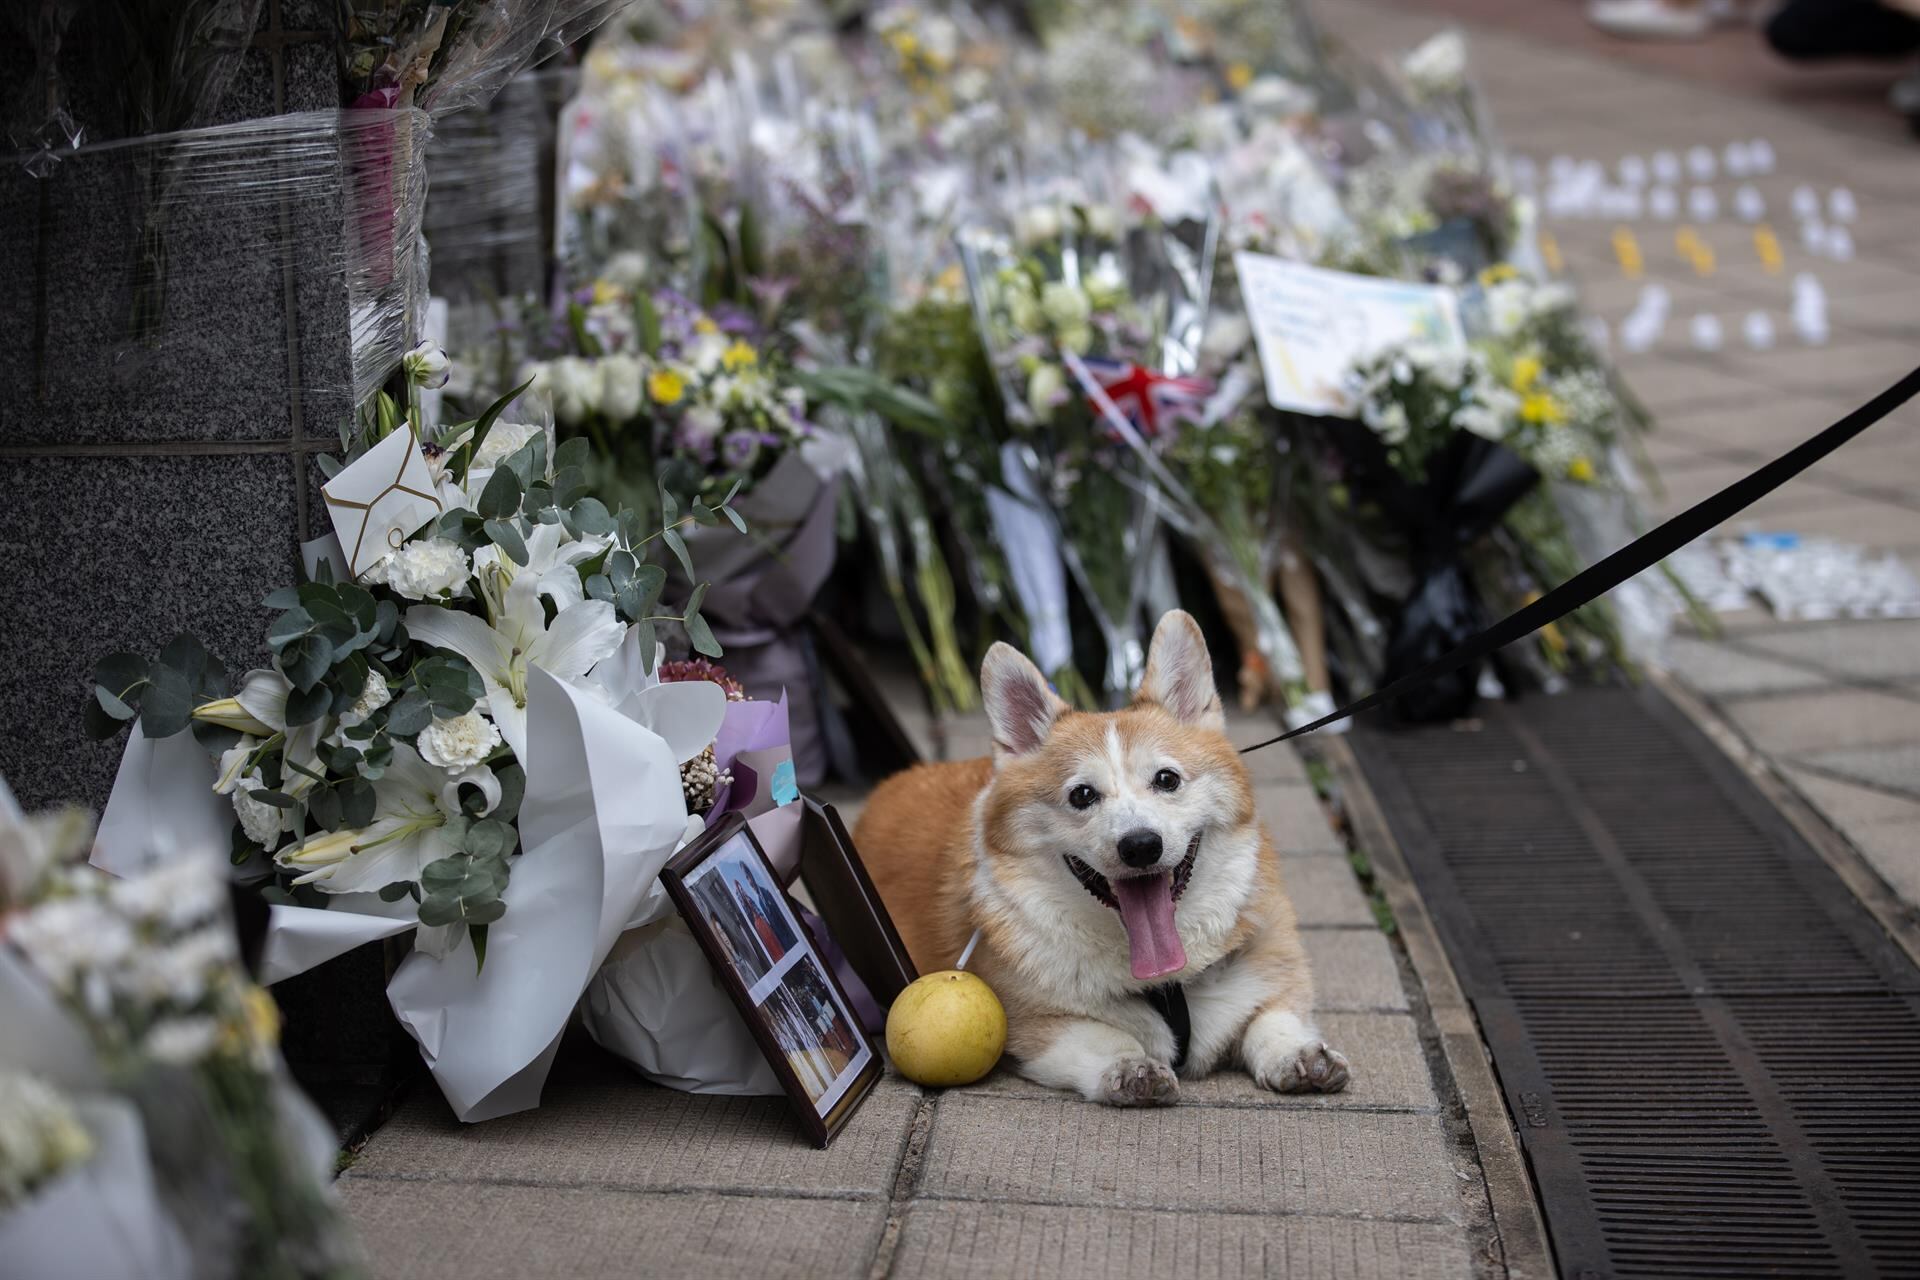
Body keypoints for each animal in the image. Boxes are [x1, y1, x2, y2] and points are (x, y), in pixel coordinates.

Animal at [856, 610, 1351, 1105]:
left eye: (1167, 779)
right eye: (1082, 794)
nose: (1141, 846)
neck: (1164, 982)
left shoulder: (1274, 979)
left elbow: (1272, 1017)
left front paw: (1299, 1056)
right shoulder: (1034, 1024)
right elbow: (1101, 1036)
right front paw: (1131, 1066)